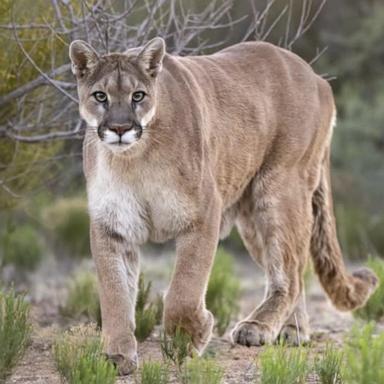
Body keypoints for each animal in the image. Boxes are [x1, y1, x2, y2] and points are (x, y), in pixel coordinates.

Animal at [69, 38, 378, 376]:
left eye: (138, 95)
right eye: (100, 96)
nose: (120, 128)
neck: (134, 159)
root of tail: (317, 77)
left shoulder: (204, 213)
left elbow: (185, 287)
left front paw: (191, 336)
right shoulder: (111, 226)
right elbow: (114, 293)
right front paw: (117, 356)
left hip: (280, 190)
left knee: (290, 274)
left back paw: (256, 327)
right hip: (253, 221)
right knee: (293, 267)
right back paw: (292, 331)